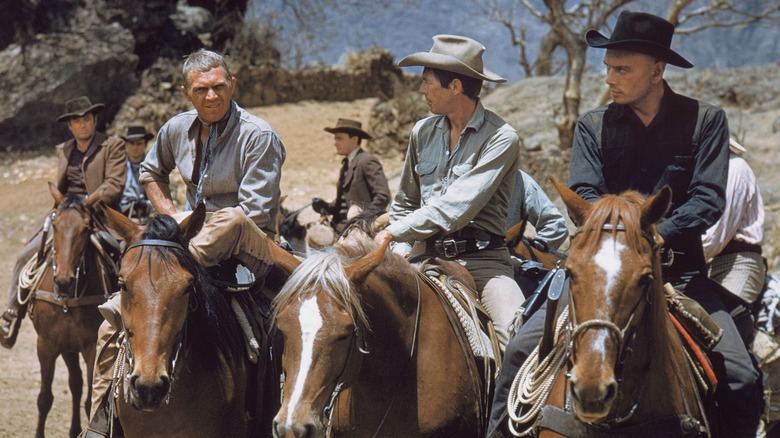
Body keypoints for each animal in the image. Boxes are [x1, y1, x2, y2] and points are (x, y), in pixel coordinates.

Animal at [30, 183, 114, 436]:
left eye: (86, 228)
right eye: (55, 224)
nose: (64, 280)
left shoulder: (92, 348)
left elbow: (90, 402)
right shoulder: (46, 345)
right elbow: (44, 399)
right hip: (67, 348)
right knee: (75, 384)